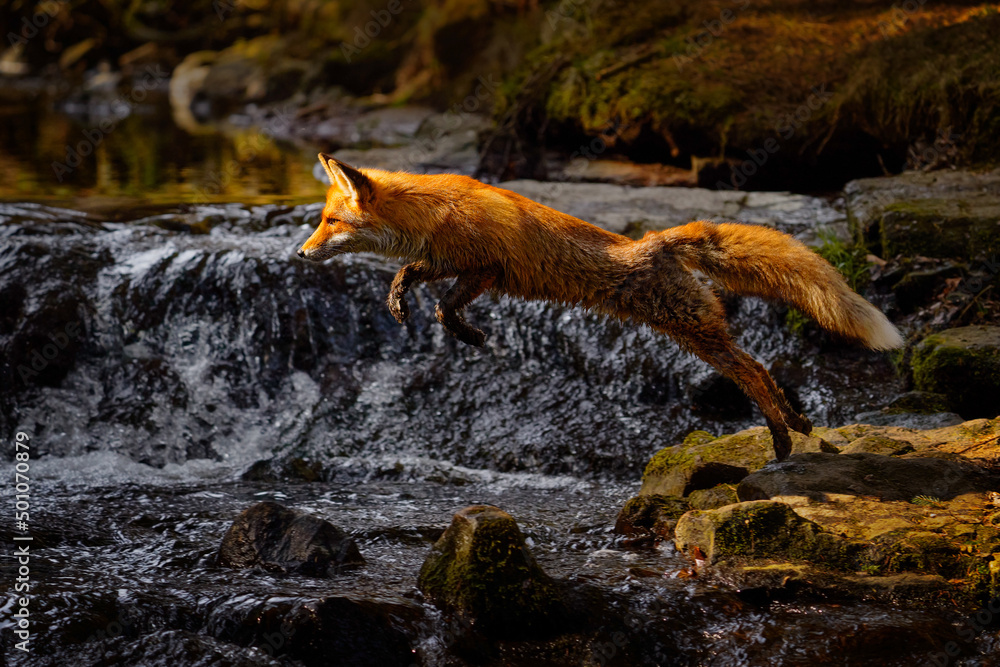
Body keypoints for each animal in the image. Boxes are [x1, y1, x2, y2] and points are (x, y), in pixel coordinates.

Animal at [296, 154, 908, 462]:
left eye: (329, 221)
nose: (300, 253)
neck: (434, 214)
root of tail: (659, 240)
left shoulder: (486, 267)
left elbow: (444, 304)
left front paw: (466, 334)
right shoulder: (460, 265)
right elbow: (414, 279)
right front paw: (407, 305)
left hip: (693, 331)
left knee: (753, 373)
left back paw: (782, 439)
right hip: (696, 332)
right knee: (759, 366)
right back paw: (798, 424)